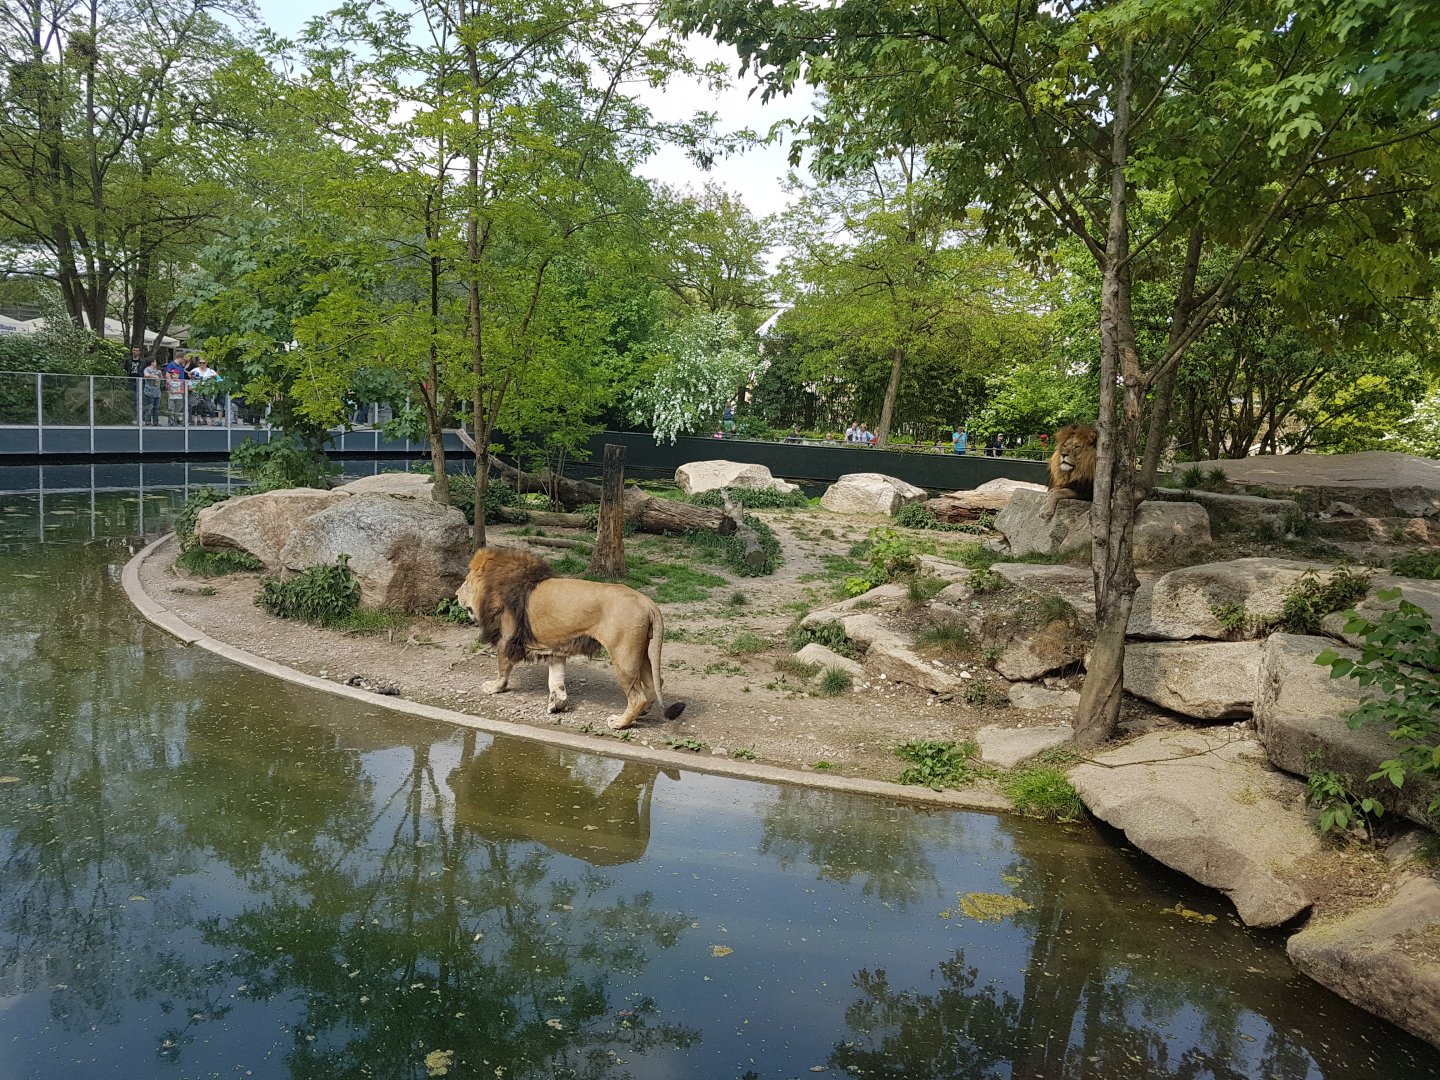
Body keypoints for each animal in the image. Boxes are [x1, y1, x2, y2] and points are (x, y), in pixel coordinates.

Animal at [455, 546, 684, 730]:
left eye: (465, 582)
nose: (456, 595)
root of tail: (647, 601)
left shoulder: (506, 640)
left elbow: (503, 670)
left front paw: (494, 688)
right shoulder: (555, 647)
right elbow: (556, 679)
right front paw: (557, 703)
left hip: (624, 656)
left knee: (638, 696)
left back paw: (620, 722)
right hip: (642, 652)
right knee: (655, 684)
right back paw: (642, 713)